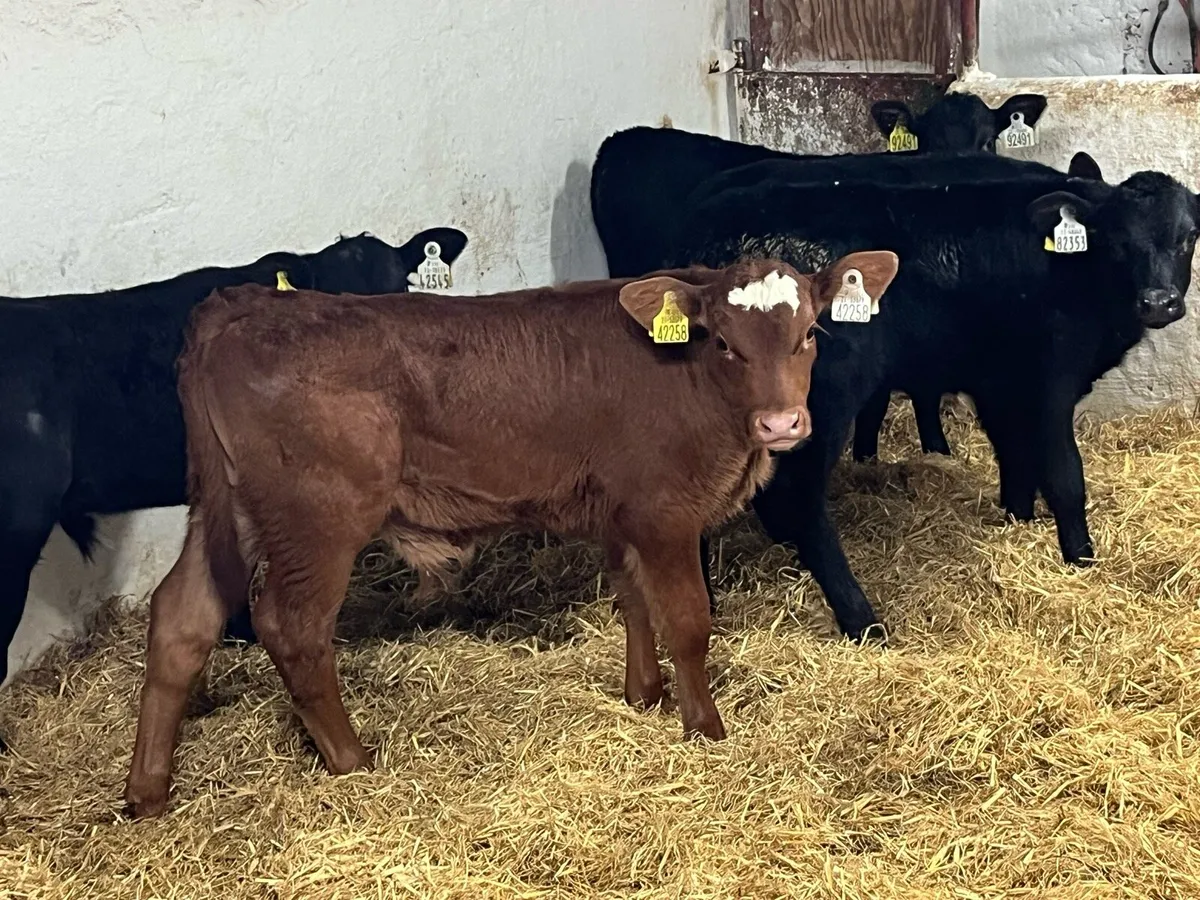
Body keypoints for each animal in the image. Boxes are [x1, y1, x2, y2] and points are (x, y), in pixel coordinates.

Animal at [122, 252, 900, 817]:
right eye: (727, 345)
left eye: (809, 335)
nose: (783, 423)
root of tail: (244, 303)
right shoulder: (664, 512)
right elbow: (686, 621)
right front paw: (704, 728)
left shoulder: (621, 514)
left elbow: (633, 600)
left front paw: (642, 695)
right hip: (317, 522)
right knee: (292, 629)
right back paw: (353, 762)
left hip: (226, 509)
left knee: (183, 617)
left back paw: (148, 791)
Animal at [664, 154, 1197, 641]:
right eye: (1118, 240)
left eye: (1188, 236)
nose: (1159, 302)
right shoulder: (1050, 381)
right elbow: (1065, 476)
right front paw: (1081, 557)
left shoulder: (1001, 382)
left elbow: (1016, 456)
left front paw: (1017, 521)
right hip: (823, 401)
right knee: (800, 499)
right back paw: (861, 620)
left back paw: (708, 606)